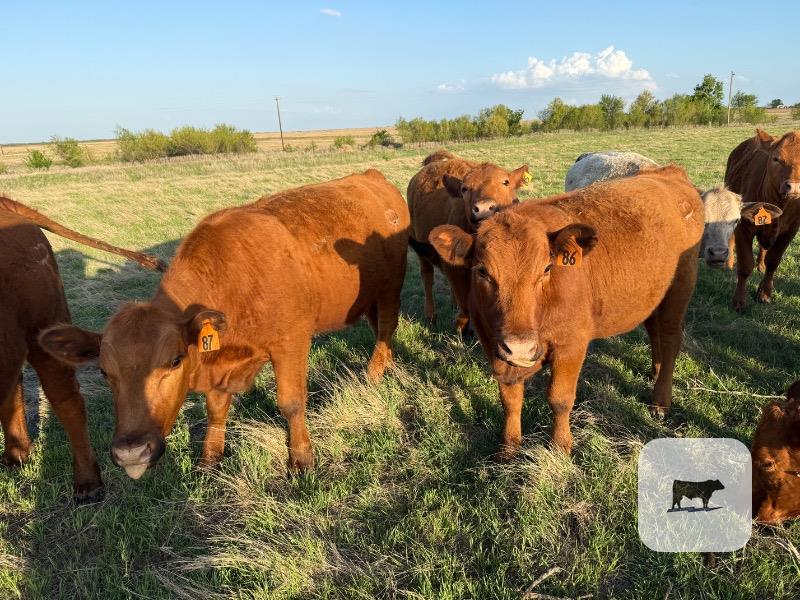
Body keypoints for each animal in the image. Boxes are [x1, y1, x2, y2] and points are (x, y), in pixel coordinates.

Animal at [38, 170, 410, 478]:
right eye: (104, 372)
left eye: (174, 361)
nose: (132, 452)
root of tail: (371, 177)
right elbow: (216, 410)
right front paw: (209, 458)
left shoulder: (291, 343)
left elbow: (291, 403)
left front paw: (301, 459)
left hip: (391, 284)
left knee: (387, 325)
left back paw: (375, 372)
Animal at [407, 150, 529, 333]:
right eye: (464, 189)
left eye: (505, 182)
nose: (484, 208)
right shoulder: (456, 270)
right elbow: (465, 302)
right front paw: (462, 327)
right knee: (427, 277)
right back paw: (431, 316)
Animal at [429, 166, 703, 458]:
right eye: (482, 271)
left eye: (547, 269)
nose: (521, 347)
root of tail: (669, 172)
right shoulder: (496, 346)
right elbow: (510, 400)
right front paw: (508, 447)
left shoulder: (571, 345)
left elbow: (559, 399)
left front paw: (560, 446)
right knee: (653, 328)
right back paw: (655, 369)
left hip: (680, 287)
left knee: (671, 337)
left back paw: (661, 400)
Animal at [727, 129, 800, 310]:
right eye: (776, 158)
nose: (794, 187)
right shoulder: (743, 228)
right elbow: (745, 265)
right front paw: (739, 300)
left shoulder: (790, 230)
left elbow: (773, 261)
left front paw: (765, 293)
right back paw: (729, 263)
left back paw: (761, 265)